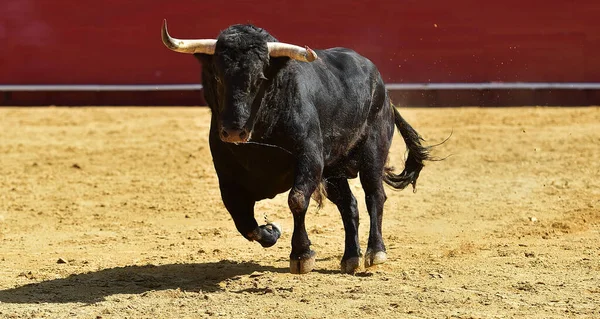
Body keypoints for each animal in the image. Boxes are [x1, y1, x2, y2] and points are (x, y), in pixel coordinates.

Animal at [162, 21, 434, 276]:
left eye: (259, 79)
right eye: (218, 77)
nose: (233, 131)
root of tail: (381, 86)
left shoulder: (309, 159)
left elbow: (297, 199)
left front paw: (302, 255)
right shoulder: (228, 178)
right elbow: (243, 221)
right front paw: (271, 230)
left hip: (373, 152)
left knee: (374, 195)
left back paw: (375, 252)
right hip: (333, 171)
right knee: (349, 205)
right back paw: (350, 258)